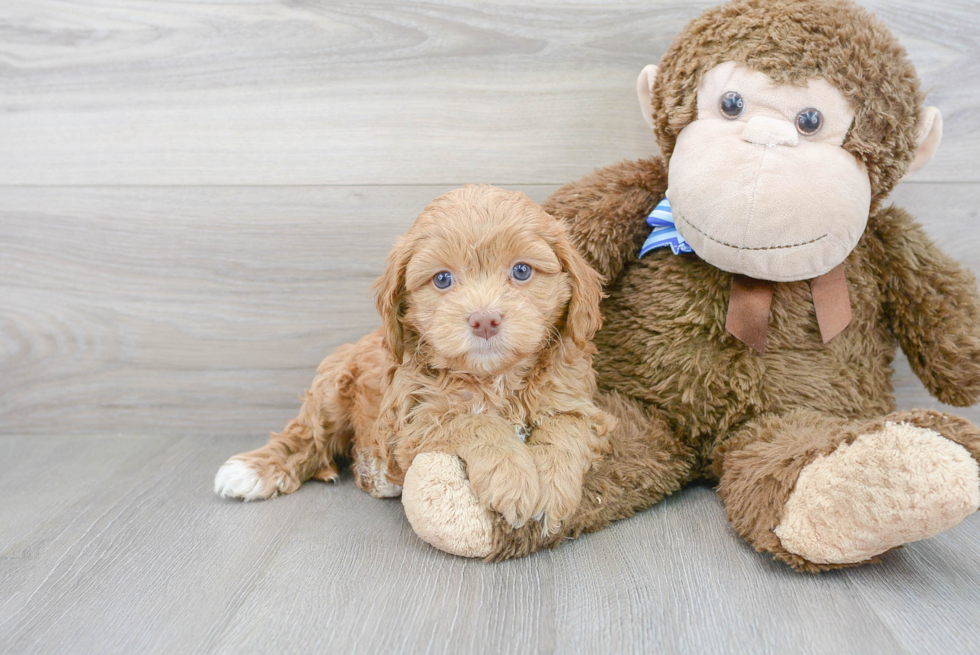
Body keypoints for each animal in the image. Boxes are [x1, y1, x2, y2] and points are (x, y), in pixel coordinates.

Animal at [214, 183, 612, 532]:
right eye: (442, 279)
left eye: (522, 270)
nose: (484, 320)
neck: (493, 378)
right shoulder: (410, 422)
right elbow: (472, 421)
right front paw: (512, 478)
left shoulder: (579, 402)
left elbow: (566, 428)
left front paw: (553, 489)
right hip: (333, 385)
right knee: (306, 436)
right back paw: (254, 471)